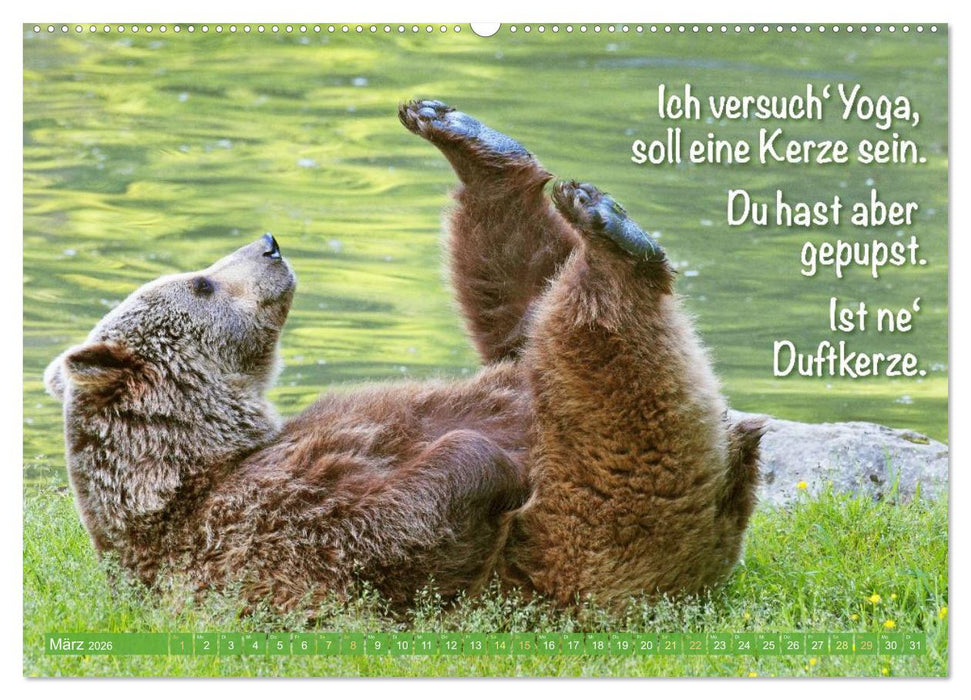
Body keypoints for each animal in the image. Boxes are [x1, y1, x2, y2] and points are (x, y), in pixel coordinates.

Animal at [44, 98, 764, 613]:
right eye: (201, 282)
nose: (270, 243)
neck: (200, 459)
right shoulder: (254, 526)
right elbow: (391, 525)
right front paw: (486, 457)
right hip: (594, 523)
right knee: (595, 357)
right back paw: (611, 236)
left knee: (521, 302)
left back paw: (475, 143)